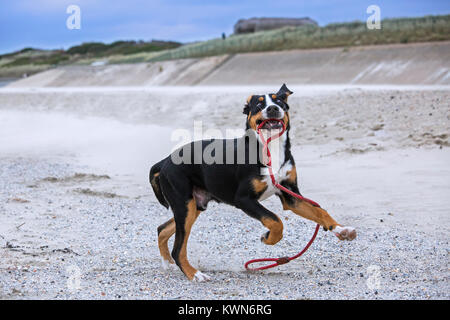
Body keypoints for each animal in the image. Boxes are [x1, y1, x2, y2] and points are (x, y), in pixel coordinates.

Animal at [149, 84, 356, 282]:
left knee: (162, 229)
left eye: (279, 101)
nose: (272, 109)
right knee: (178, 248)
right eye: (258, 104)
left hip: (193, 207)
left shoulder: (291, 195)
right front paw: (268, 238)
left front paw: (342, 229)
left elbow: (320, 212)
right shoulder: (244, 199)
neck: (270, 147)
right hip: (185, 205)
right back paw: (194, 274)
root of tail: (166, 160)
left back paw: (168, 263)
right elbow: (275, 221)